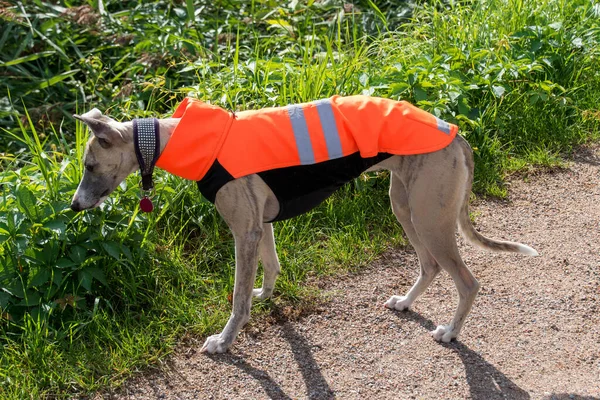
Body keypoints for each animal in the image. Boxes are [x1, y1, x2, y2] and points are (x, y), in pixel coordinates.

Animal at [71, 96, 540, 354]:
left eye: (90, 165)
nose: (75, 206)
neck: (180, 137)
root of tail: (456, 133)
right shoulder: (260, 225)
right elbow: (270, 266)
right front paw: (265, 295)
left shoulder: (243, 230)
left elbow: (237, 298)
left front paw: (225, 341)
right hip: (406, 207)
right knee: (430, 266)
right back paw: (406, 303)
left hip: (431, 217)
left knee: (467, 281)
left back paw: (450, 333)